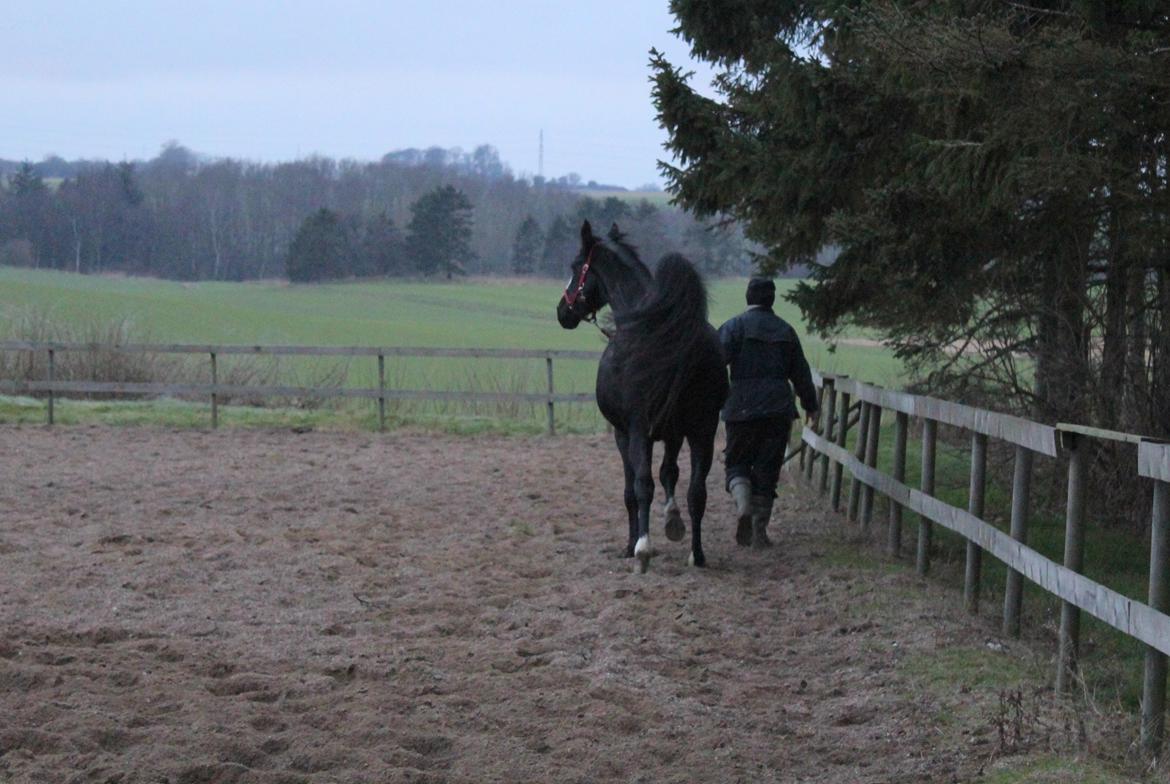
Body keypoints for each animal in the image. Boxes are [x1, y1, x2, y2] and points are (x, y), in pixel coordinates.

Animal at [552, 221, 725, 571]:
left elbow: (633, 490)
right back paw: (697, 554)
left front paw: (633, 543)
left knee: (643, 486)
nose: (563, 311)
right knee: (697, 492)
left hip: (641, 431)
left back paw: (643, 550)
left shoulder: (625, 432)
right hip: (703, 430)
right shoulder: (674, 433)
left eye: (576, 268)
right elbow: (670, 474)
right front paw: (673, 521)